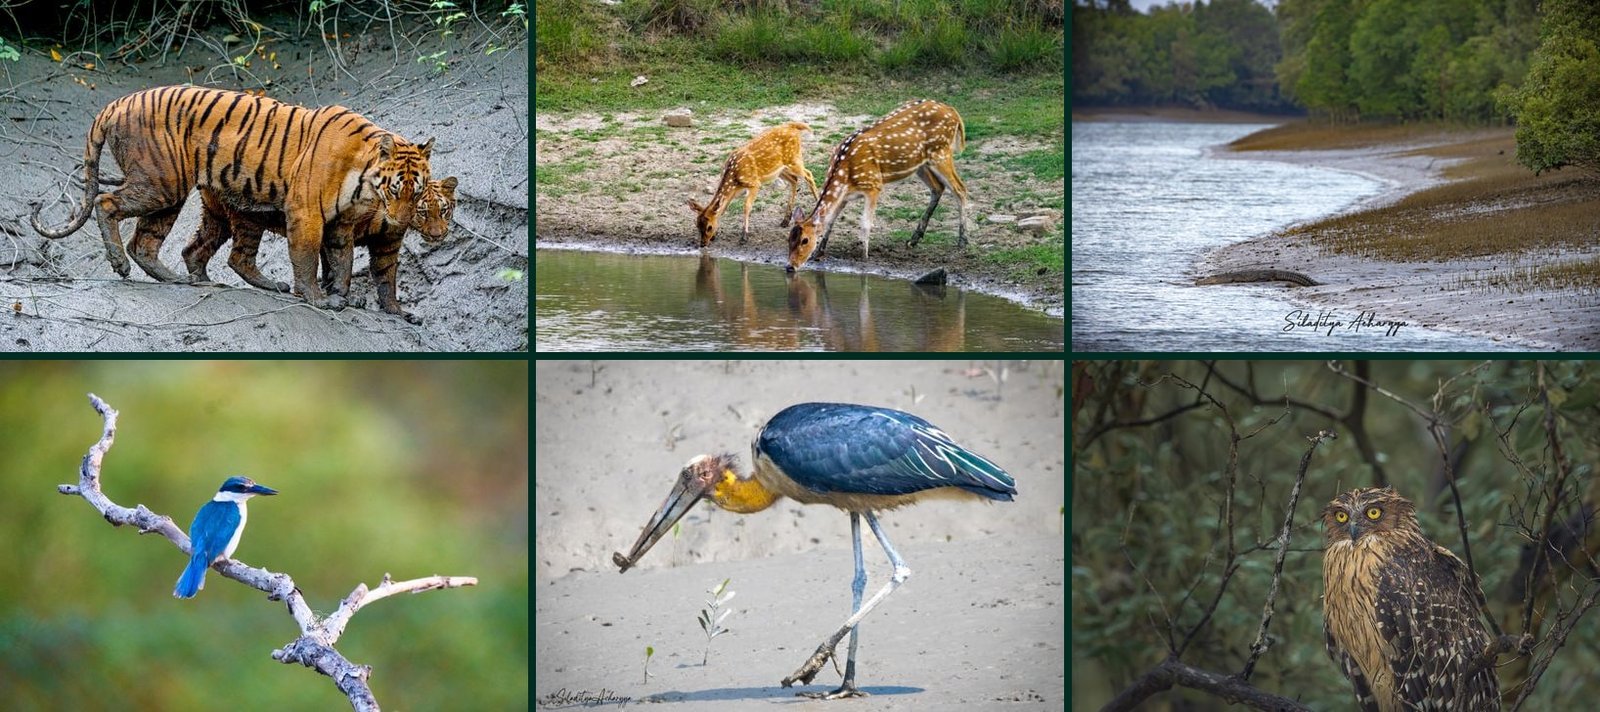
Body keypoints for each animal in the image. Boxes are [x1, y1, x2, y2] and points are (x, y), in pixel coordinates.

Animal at [29, 85, 434, 309]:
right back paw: (120, 264)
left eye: (417, 194)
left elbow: (341, 262)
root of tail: (115, 104)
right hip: (161, 182)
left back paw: (180, 278)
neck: (363, 180)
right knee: (106, 204)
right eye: (395, 189)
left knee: (150, 242)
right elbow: (306, 258)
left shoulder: (340, 225)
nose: (400, 222)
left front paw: (342, 297)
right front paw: (317, 298)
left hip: (174, 195)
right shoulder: (307, 213)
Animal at [182, 177, 458, 324]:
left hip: (217, 217)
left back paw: (201, 279)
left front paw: (397, 312)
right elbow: (339, 266)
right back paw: (272, 285)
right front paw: (342, 298)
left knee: (192, 249)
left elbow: (386, 279)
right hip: (249, 217)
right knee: (237, 257)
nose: (438, 234)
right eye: (423, 212)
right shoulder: (339, 228)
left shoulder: (387, 244)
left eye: (443, 210)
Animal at [688, 120, 820, 248]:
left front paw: (744, 237)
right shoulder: (736, 190)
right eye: (697, 225)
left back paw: (818, 204)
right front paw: (716, 235)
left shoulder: (754, 183)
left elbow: (746, 207)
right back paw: (785, 221)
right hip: (780, 169)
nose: (702, 244)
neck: (734, 177)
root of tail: (793, 126)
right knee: (794, 180)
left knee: (809, 174)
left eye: (709, 227)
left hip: (794, 159)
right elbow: (724, 208)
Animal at [786, 99, 968, 273]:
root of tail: (953, 111)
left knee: (960, 188)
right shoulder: (844, 196)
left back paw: (963, 241)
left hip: (941, 152)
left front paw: (864, 256)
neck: (845, 175)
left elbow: (866, 223)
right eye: (788, 238)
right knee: (938, 188)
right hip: (921, 164)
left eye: (805, 240)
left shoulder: (873, 185)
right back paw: (913, 240)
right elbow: (830, 221)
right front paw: (819, 252)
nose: (790, 266)